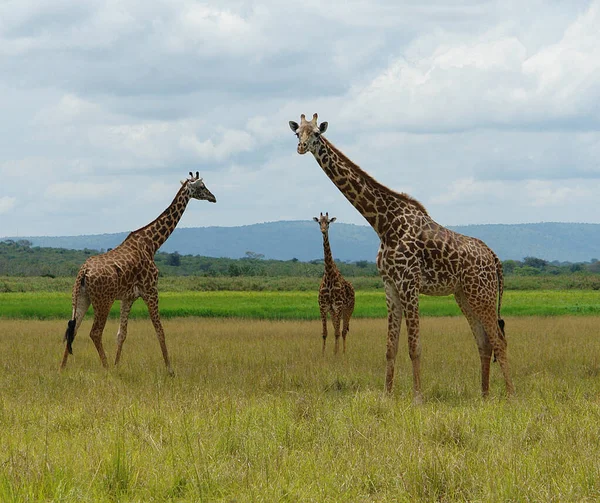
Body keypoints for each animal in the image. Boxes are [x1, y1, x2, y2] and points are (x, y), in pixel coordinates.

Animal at [58, 172, 217, 374]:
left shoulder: (128, 297)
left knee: (73, 329)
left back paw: (62, 369)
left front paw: (118, 366)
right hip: (103, 300)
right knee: (94, 332)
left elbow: (121, 334)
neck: (152, 244)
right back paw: (106, 368)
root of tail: (83, 272)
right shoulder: (151, 291)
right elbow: (160, 331)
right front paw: (170, 370)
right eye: (202, 186)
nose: (213, 197)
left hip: (81, 298)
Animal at [312, 212, 354, 354]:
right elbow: (325, 333)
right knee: (338, 329)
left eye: (329, 222)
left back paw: (343, 352)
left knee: (343, 331)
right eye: (320, 222)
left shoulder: (338, 306)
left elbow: (337, 332)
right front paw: (324, 354)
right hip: (333, 312)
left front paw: (336, 354)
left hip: (348, 309)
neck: (329, 275)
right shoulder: (324, 307)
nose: (323, 230)